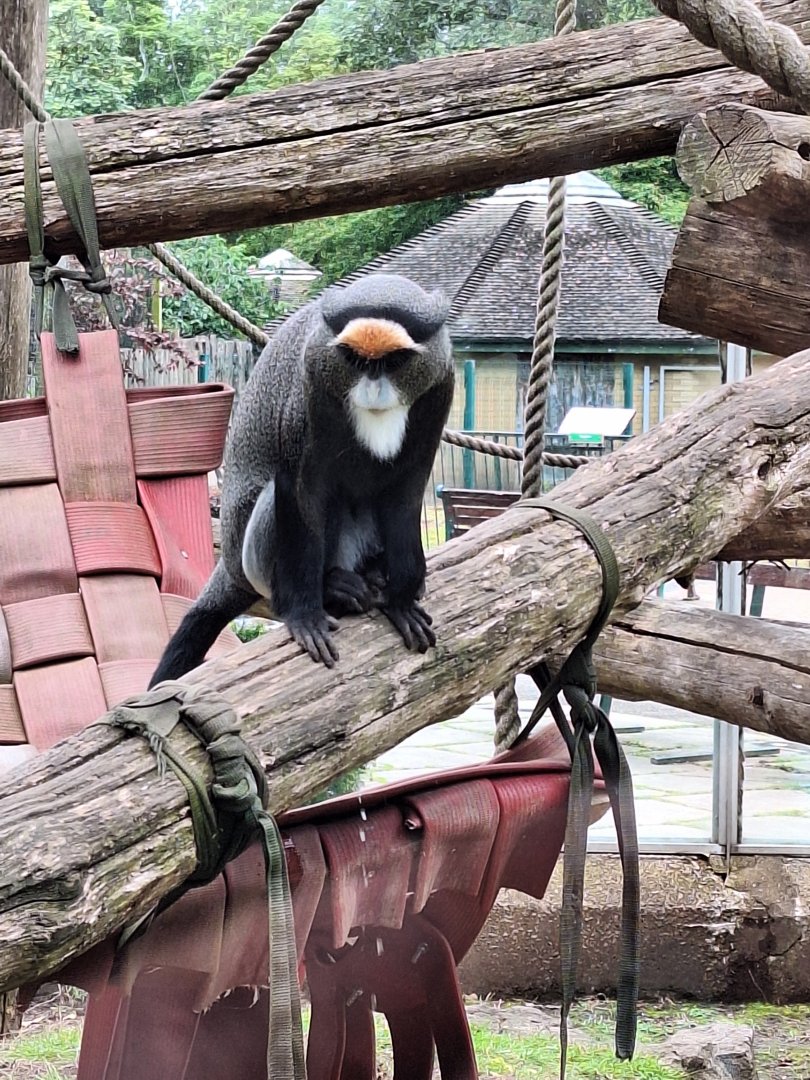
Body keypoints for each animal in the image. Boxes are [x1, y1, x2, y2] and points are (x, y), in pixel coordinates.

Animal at [149, 272, 455, 684]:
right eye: (355, 359)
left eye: (393, 361)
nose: (373, 390)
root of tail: (230, 567)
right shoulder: (308, 386)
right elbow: (301, 490)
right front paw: (305, 613)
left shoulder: (441, 385)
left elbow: (406, 492)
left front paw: (401, 599)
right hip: (254, 563)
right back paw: (333, 587)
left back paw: (375, 575)